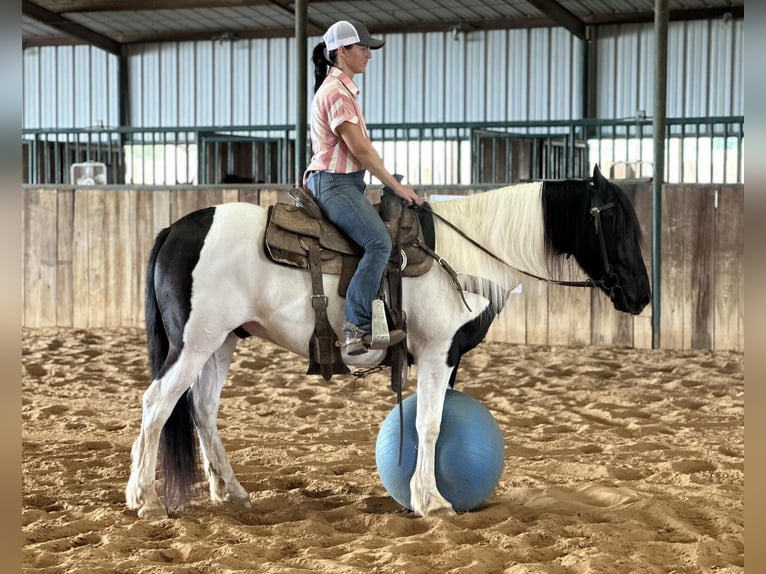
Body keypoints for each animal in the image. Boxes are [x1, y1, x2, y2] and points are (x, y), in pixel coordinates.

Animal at [127, 164, 656, 520]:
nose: (642, 295)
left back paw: (230, 491)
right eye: (614, 223)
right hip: (194, 342)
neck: (466, 257)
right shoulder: (438, 353)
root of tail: (174, 228)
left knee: (201, 409)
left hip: (220, 342)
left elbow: (435, 423)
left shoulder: (449, 358)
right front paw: (432, 501)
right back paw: (145, 500)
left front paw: (422, 494)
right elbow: (429, 424)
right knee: (157, 403)